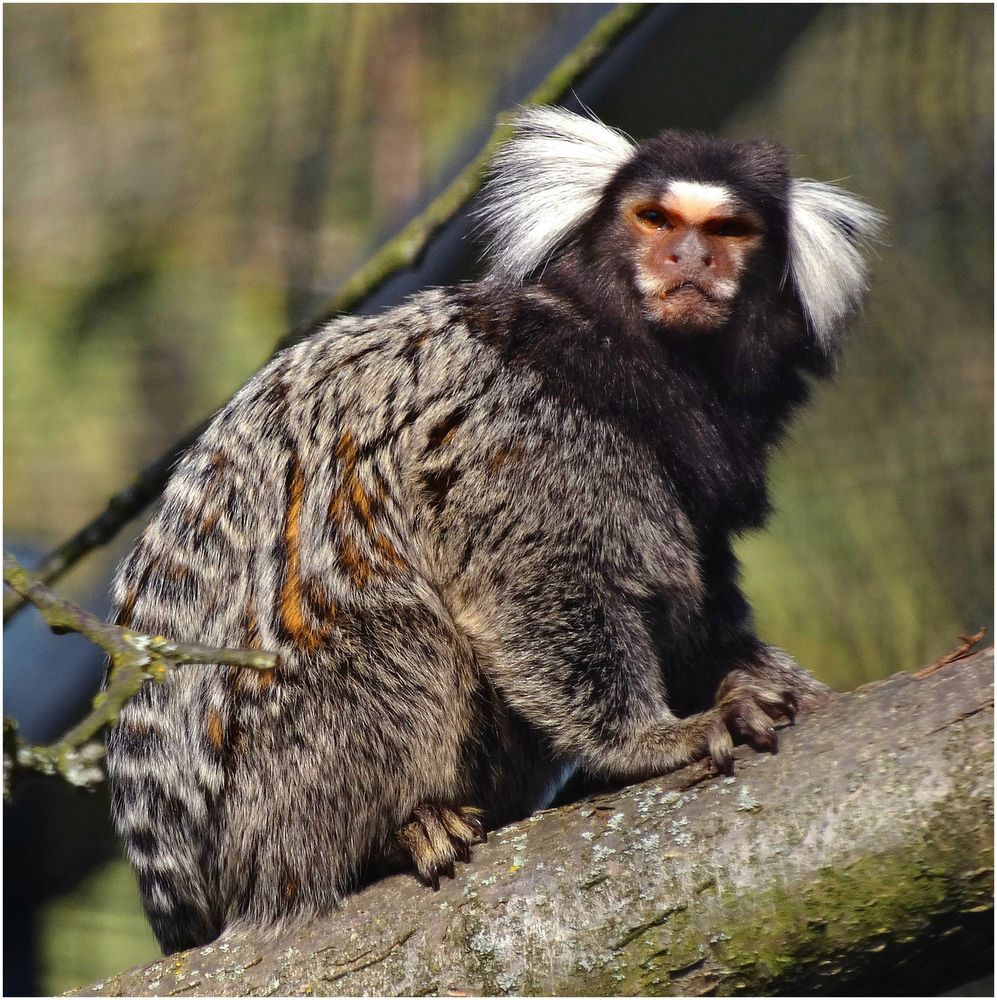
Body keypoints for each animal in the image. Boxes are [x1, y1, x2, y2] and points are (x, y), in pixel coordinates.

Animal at [103, 107, 880, 952]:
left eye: (730, 230)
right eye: (656, 219)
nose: (688, 258)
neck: (642, 357)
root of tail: (181, 902)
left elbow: (697, 615)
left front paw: (761, 681)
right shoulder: (523, 425)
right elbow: (536, 589)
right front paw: (649, 742)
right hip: (265, 787)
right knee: (389, 631)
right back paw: (397, 832)